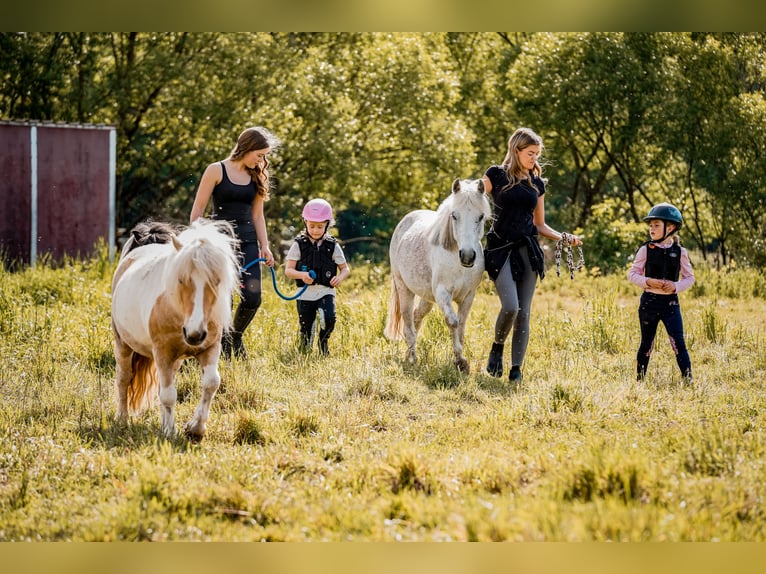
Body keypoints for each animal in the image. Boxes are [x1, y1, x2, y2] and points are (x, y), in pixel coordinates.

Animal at [111, 219, 240, 440]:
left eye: (216, 281)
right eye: (181, 279)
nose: (195, 334)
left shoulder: (210, 348)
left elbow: (211, 383)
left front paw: (195, 427)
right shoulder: (163, 352)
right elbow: (168, 395)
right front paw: (171, 432)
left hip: (176, 359)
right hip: (123, 345)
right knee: (124, 379)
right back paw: (122, 419)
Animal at [388, 179, 488, 374]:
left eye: (480, 217)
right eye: (454, 216)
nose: (467, 256)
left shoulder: (468, 296)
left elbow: (461, 326)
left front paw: (460, 362)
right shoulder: (443, 294)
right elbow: (453, 322)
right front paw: (460, 361)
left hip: (427, 298)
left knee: (416, 317)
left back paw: (409, 354)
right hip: (404, 289)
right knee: (408, 323)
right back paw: (412, 358)